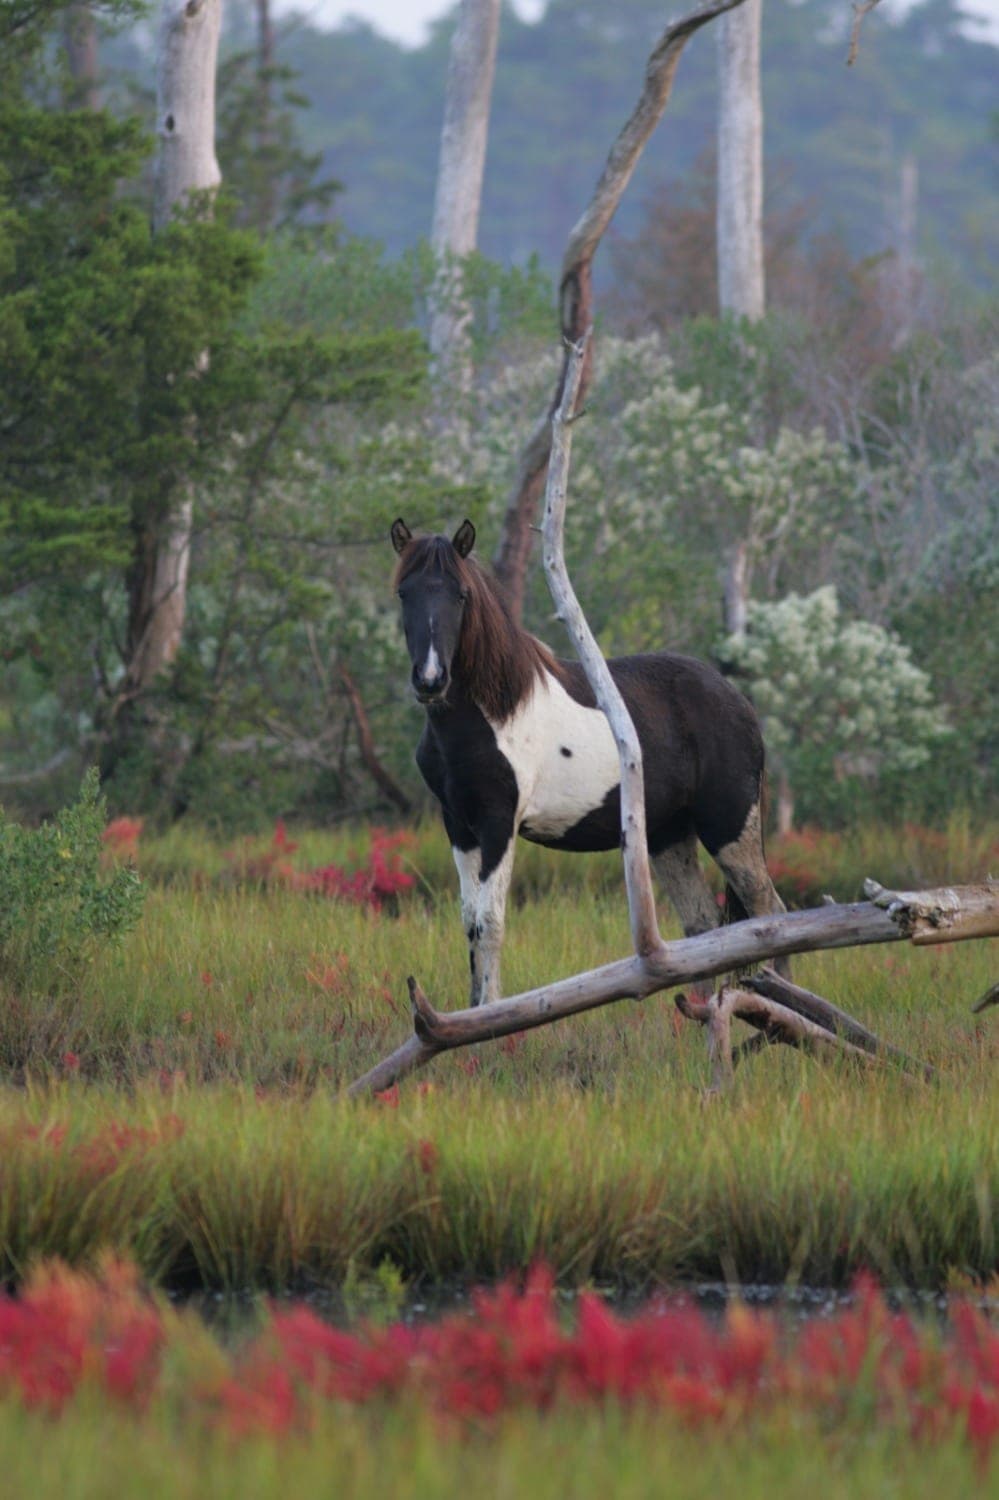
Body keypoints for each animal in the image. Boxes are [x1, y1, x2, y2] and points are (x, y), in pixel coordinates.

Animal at [391, 518, 786, 1007]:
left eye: (461, 595)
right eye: (403, 593)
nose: (430, 680)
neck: (493, 711)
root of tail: (740, 702)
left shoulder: (499, 823)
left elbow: (491, 922)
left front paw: (492, 1016)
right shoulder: (459, 826)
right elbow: (469, 923)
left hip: (730, 828)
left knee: (769, 913)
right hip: (669, 835)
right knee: (702, 926)